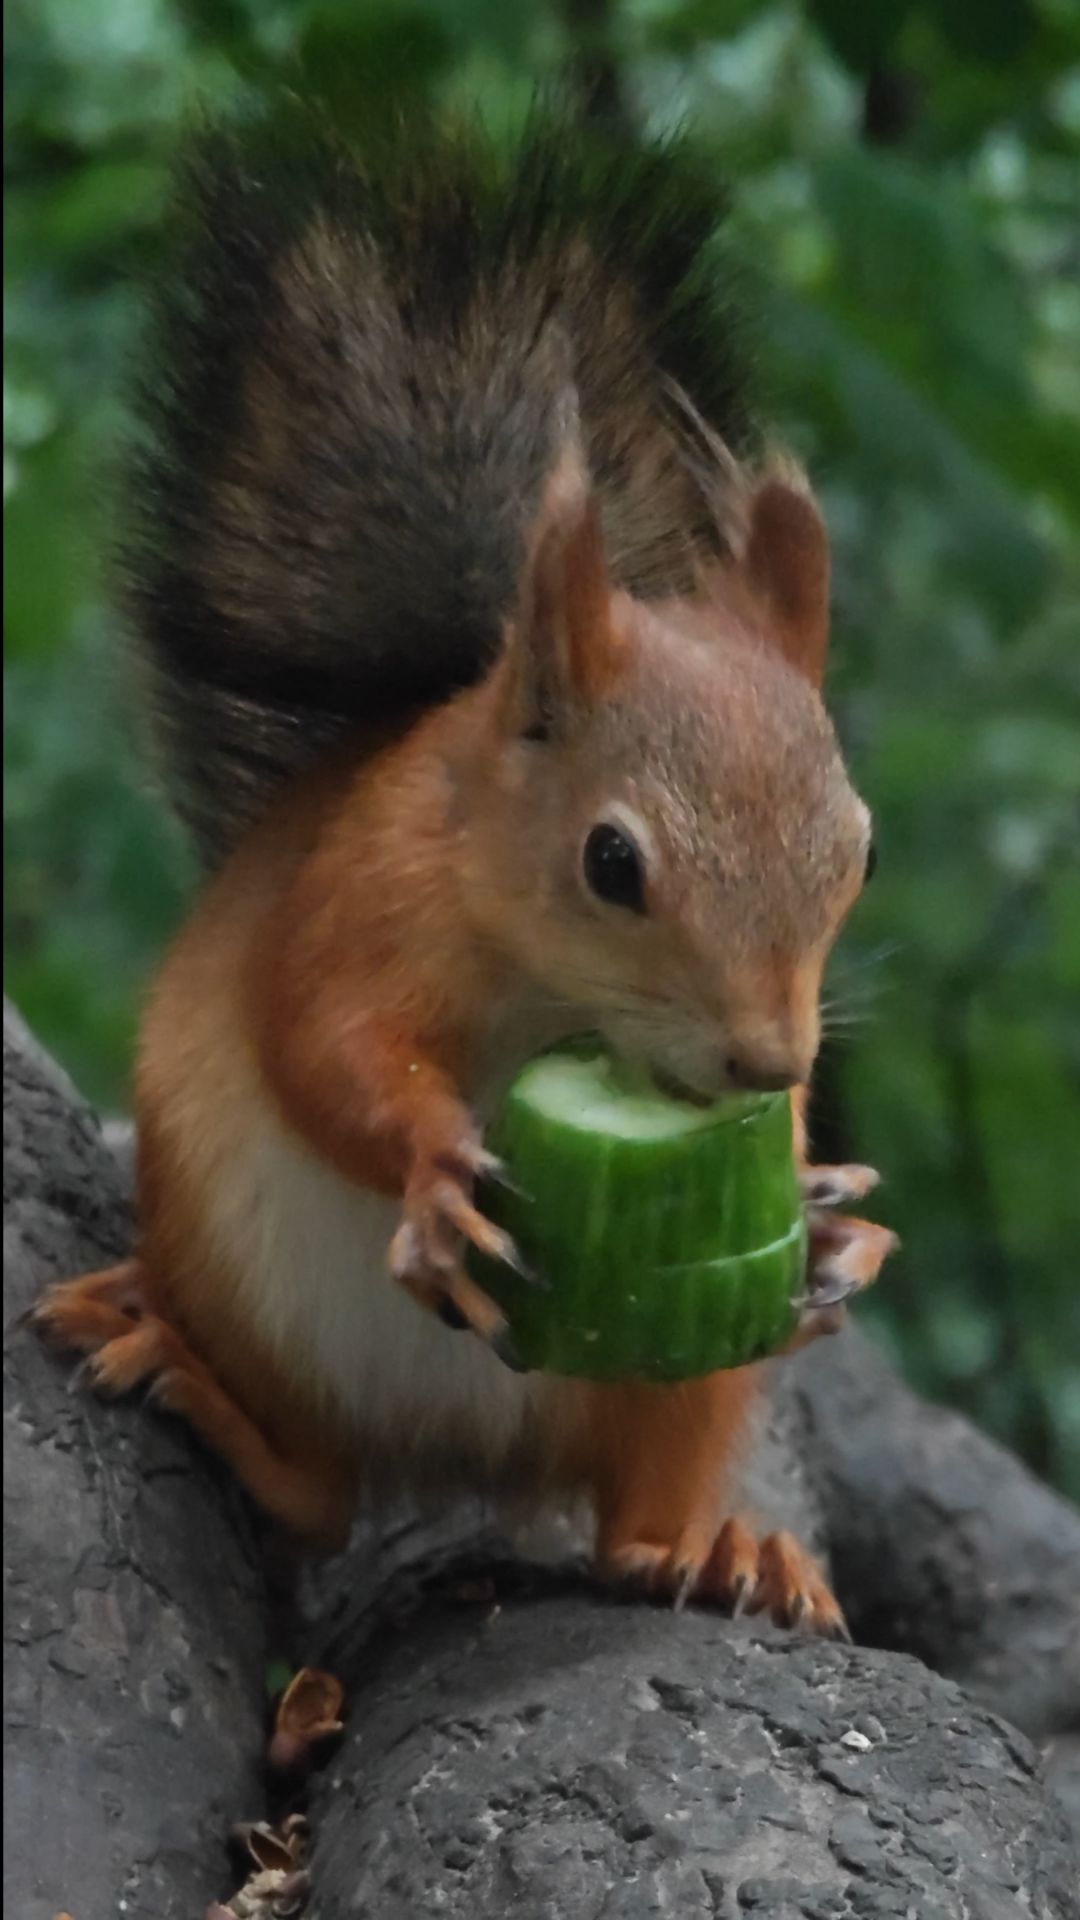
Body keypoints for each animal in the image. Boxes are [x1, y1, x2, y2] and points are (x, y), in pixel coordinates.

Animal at [35, 100, 896, 1634]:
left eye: (857, 849)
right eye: (612, 861)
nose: (767, 1062)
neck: (559, 995)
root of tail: (470, 1462)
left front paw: (838, 1222)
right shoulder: (356, 901)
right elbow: (322, 1046)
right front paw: (437, 1171)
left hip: (681, 1385)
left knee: (634, 1520)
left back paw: (724, 1549)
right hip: (235, 1278)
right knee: (316, 1493)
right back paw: (197, 1388)